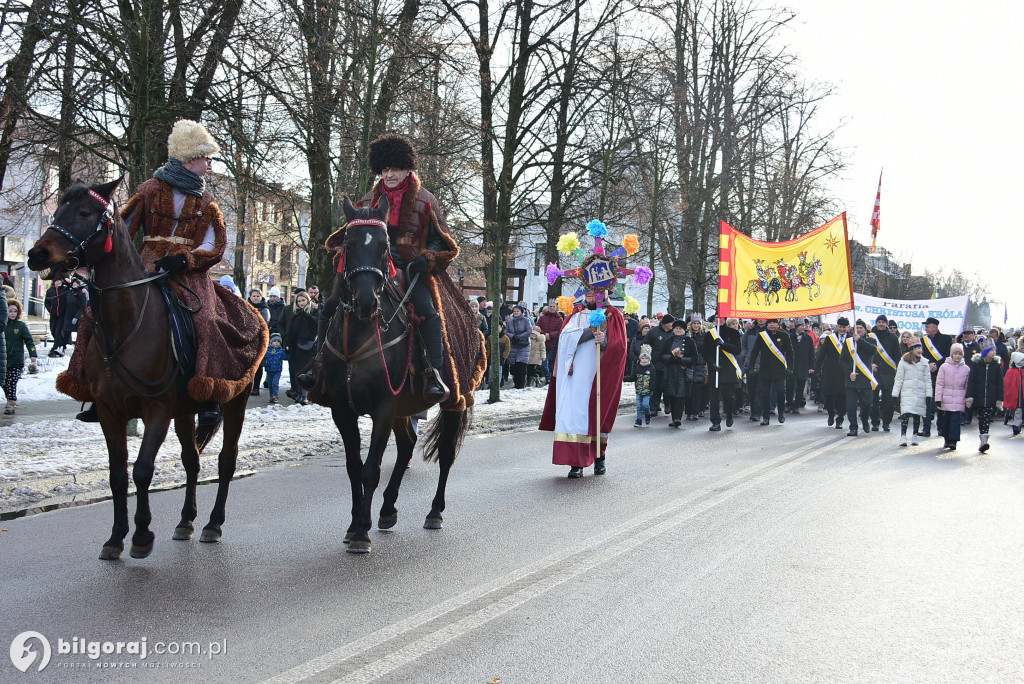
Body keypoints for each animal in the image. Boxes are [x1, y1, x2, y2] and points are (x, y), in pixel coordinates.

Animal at [321, 194, 477, 552]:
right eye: (348, 243)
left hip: (453, 399)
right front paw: (354, 524)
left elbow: (370, 470)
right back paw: (388, 508)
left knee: (445, 455)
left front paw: (361, 533)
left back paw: (434, 512)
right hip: (405, 407)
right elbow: (354, 468)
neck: (359, 335)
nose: (366, 301)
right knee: (407, 445)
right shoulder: (343, 409)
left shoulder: (383, 406)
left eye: (383, 246)